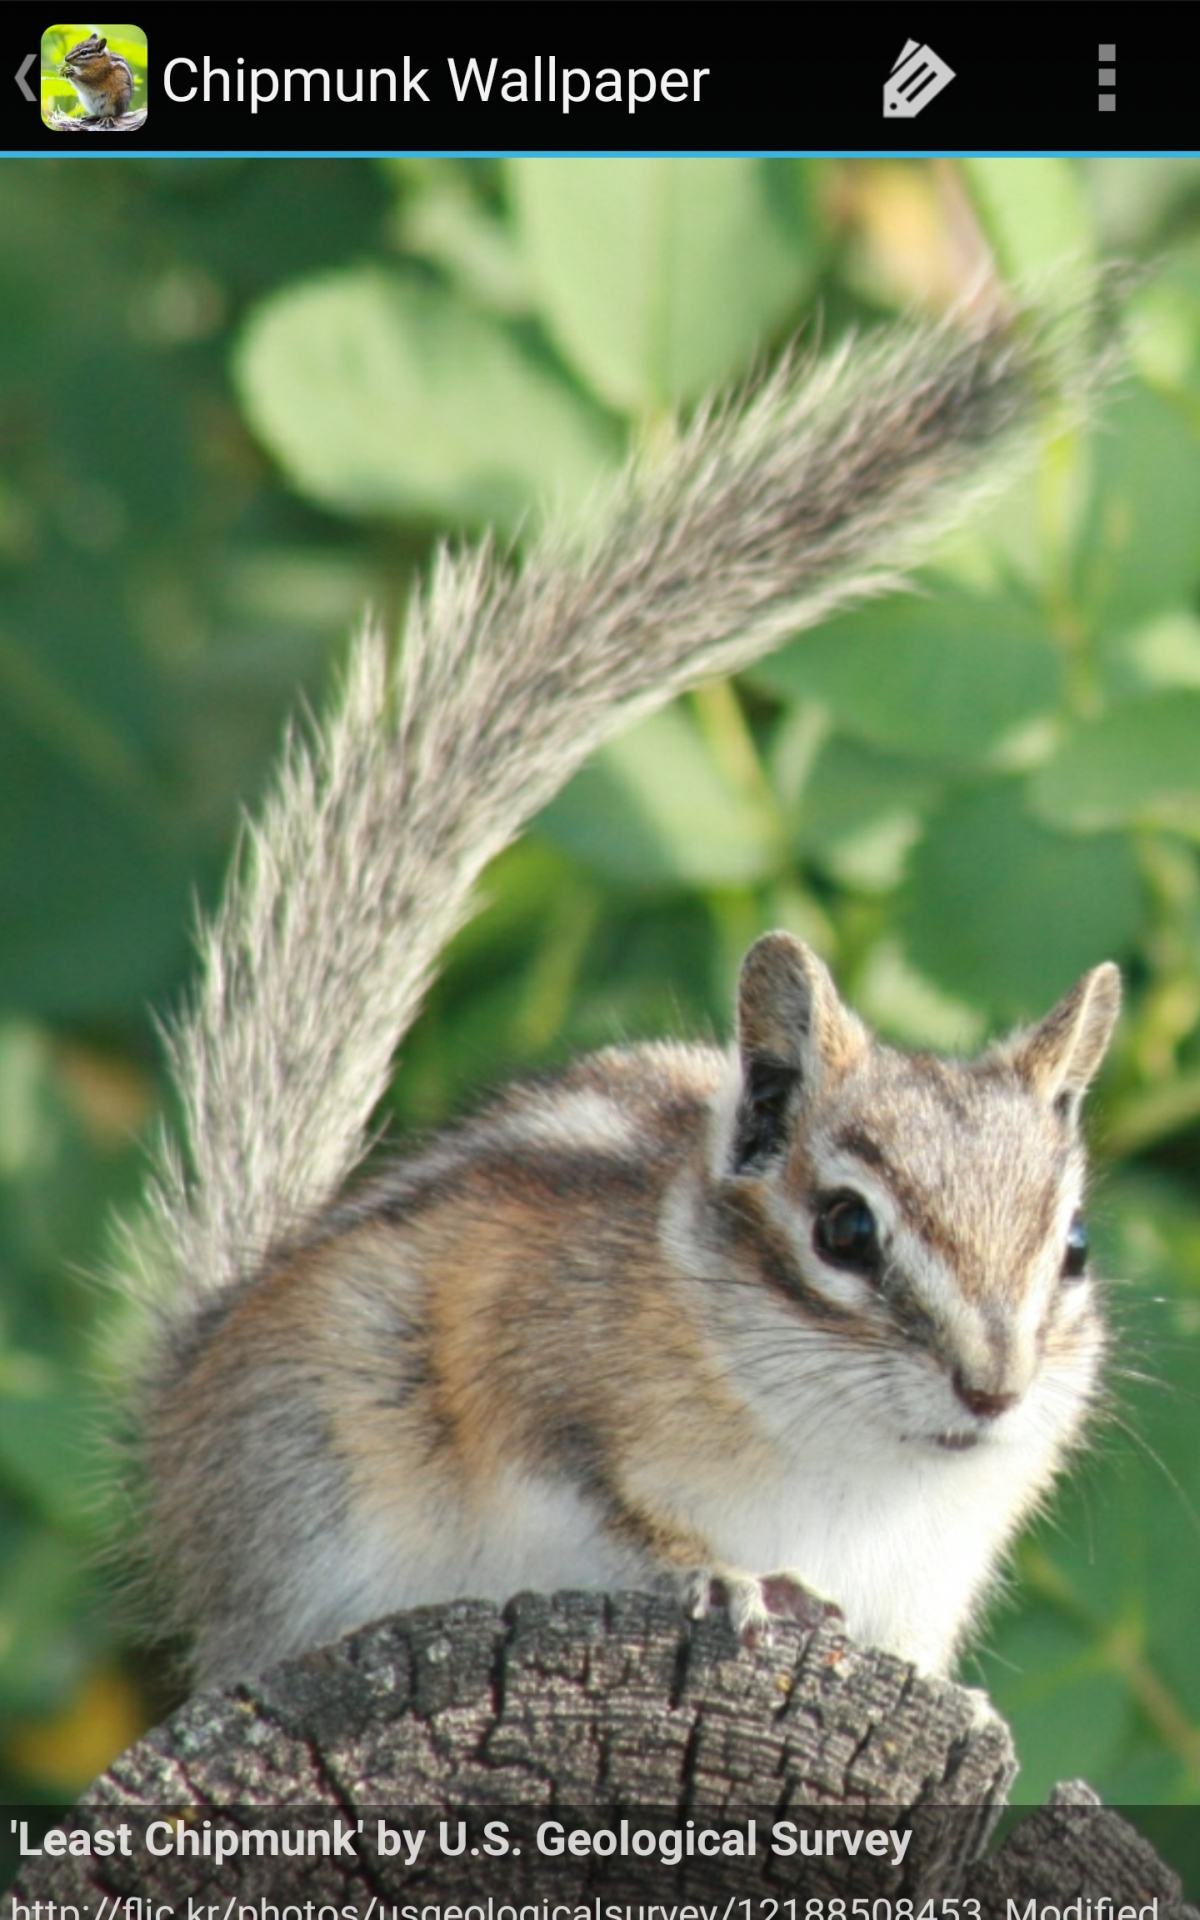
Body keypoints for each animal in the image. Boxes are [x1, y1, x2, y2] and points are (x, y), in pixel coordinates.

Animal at [126, 298, 1120, 1691]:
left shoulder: (925, 1580)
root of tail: (191, 1371)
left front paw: (965, 1705)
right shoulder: (529, 1368)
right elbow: (615, 1508)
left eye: (1072, 1247)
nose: (996, 1391)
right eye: (844, 1231)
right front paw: (723, 1570)